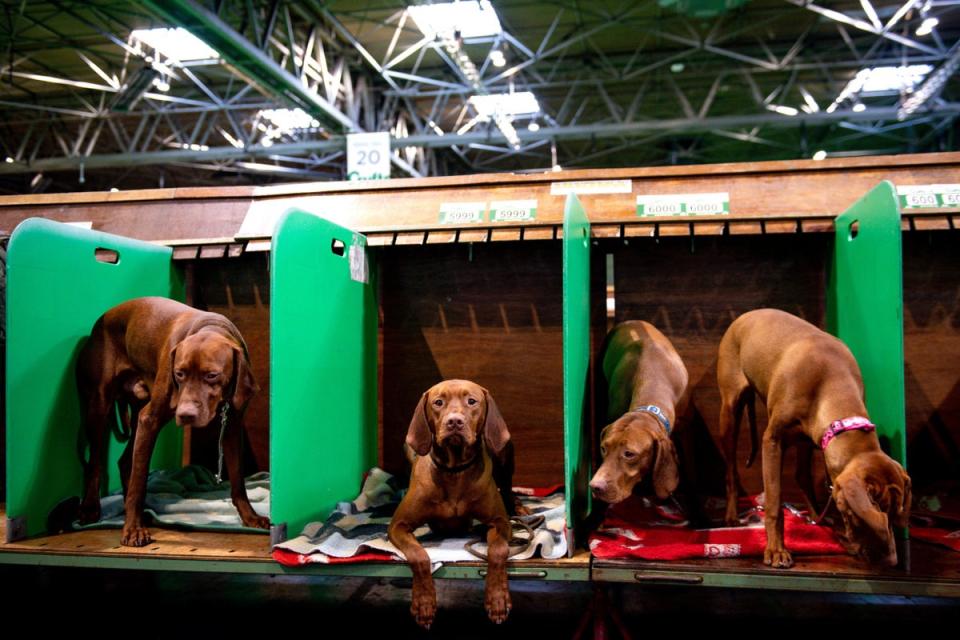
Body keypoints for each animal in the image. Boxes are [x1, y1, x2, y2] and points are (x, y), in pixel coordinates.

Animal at [75, 298, 268, 548]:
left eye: (212, 375)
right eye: (179, 373)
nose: (185, 414)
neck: (212, 327)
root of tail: (101, 321)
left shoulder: (232, 427)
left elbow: (237, 480)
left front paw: (250, 516)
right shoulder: (149, 419)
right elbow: (138, 483)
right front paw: (133, 529)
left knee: (126, 461)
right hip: (99, 407)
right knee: (95, 463)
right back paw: (91, 508)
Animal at [388, 380, 516, 632]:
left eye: (472, 401)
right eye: (438, 402)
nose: (454, 421)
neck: (454, 470)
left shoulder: (500, 521)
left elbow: (498, 551)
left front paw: (497, 598)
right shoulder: (398, 525)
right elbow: (419, 556)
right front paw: (424, 603)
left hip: (503, 450)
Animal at [716, 308, 912, 568]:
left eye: (894, 514)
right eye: (877, 513)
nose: (893, 561)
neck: (832, 383)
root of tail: (748, 314)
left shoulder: (814, 437)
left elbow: (804, 478)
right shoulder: (772, 441)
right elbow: (774, 504)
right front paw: (776, 549)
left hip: (804, 439)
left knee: (801, 475)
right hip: (730, 410)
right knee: (730, 470)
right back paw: (730, 515)